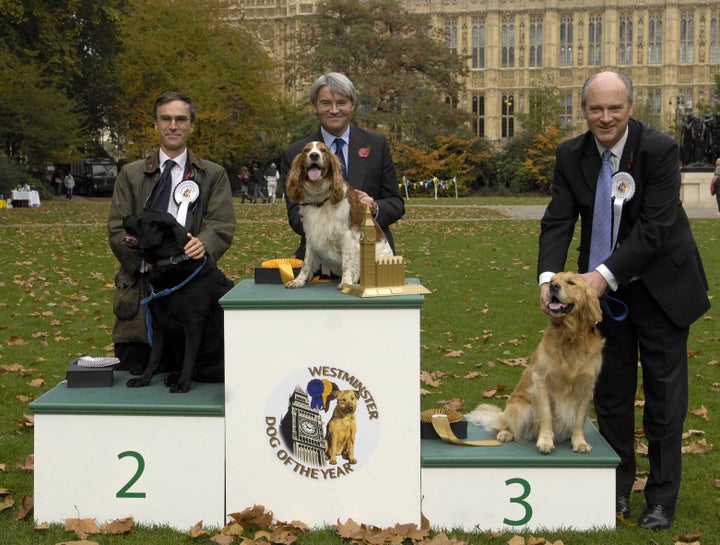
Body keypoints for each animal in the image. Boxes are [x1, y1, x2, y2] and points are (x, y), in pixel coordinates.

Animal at [122, 208, 232, 392]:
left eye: (140, 218)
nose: (123, 217)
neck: (171, 261)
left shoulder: (193, 323)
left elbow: (189, 358)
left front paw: (182, 384)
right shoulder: (158, 323)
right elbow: (154, 356)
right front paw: (144, 380)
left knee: (195, 369)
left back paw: (174, 377)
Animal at [284, 142, 394, 292]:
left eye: (323, 150)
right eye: (306, 150)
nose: (314, 155)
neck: (320, 198)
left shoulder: (346, 235)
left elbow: (347, 262)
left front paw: (346, 283)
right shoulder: (311, 234)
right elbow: (306, 262)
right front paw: (298, 281)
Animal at [466, 270, 600, 452]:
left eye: (571, 282)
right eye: (552, 280)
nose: (552, 286)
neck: (571, 337)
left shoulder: (587, 386)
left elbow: (579, 420)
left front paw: (580, 442)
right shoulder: (541, 380)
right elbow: (546, 415)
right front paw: (545, 441)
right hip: (522, 408)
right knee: (503, 426)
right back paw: (505, 434)